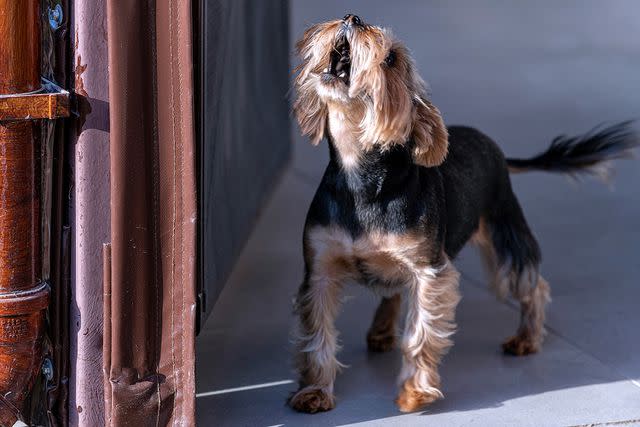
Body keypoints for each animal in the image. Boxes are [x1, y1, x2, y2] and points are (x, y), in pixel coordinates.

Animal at [290, 14, 640, 414]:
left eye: (392, 59)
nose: (352, 18)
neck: (359, 177)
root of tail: (494, 146)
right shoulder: (319, 269)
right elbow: (316, 334)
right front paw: (315, 391)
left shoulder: (428, 271)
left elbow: (420, 332)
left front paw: (414, 393)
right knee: (393, 289)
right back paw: (380, 329)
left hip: (505, 233)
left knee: (531, 285)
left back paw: (527, 337)